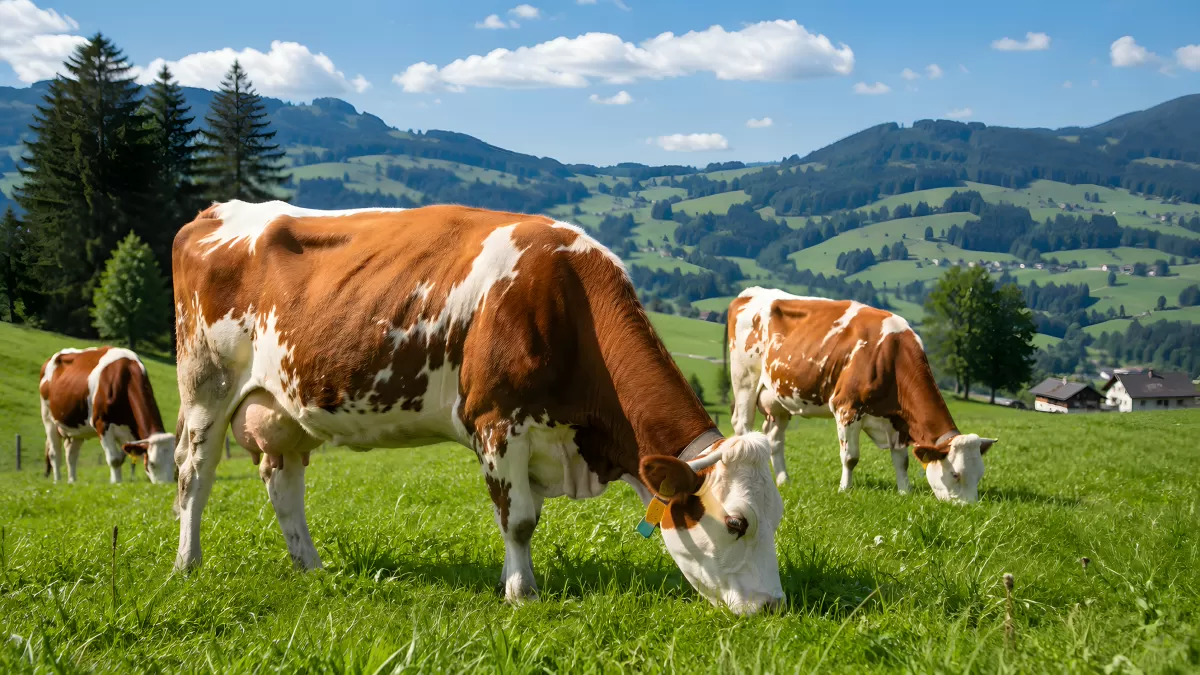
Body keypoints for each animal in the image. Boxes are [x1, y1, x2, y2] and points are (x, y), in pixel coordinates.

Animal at [39, 347, 176, 484]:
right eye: (152, 463)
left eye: (174, 462)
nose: (165, 485)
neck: (126, 377)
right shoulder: (102, 424)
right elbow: (114, 460)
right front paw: (116, 483)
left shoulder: (129, 433)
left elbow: (121, 459)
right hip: (48, 419)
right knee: (54, 453)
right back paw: (57, 481)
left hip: (77, 427)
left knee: (71, 454)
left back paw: (72, 481)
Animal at [171, 201, 785, 614]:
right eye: (737, 522)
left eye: (778, 517)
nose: (773, 606)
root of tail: (215, 212)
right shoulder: (496, 422)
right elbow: (519, 520)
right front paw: (522, 593)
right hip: (205, 385)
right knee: (194, 475)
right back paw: (187, 564)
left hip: (282, 408)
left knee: (283, 484)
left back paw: (311, 568)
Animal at [727, 287, 996, 504]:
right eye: (955, 474)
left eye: (980, 475)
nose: (969, 507)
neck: (891, 355)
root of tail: (750, 293)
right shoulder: (846, 408)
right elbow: (850, 457)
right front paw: (845, 489)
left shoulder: (897, 420)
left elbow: (901, 459)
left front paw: (905, 492)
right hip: (744, 381)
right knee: (742, 427)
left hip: (778, 398)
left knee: (774, 438)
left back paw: (784, 480)